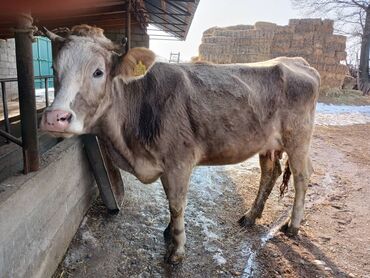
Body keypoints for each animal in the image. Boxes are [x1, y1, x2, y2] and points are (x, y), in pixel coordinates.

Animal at [39, 25, 320, 264]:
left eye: (98, 72)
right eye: (55, 70)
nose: (55, 117)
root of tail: (297, 61)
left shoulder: (179, 162)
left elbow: (176, 205)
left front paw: (176, 251)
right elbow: (169, 203)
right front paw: (168, 232)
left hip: (298, 138)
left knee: (302, 176)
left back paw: (293, 226)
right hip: (267, 143)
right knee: (270, 173)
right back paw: (251, 216)